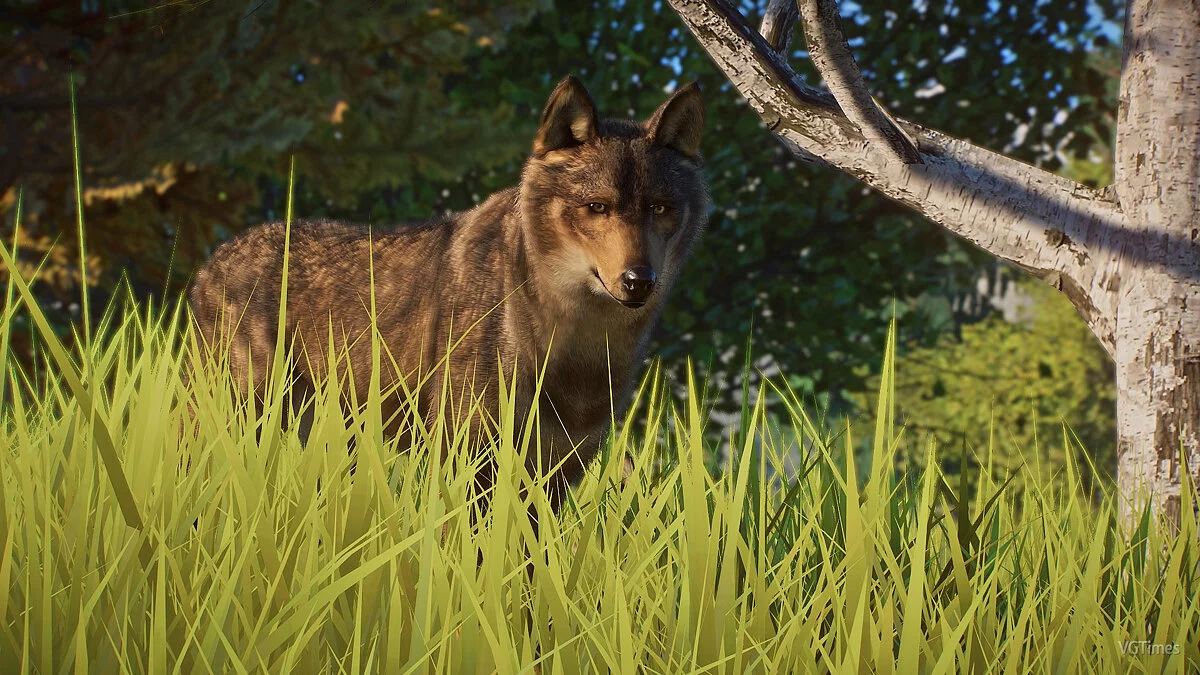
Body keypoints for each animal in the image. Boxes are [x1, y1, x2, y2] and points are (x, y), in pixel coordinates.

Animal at [188, 76, 708, 514]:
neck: (576, 348)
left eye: (659, 208)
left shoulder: (554, 476)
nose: (639, 280)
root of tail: (211, 260)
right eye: (597, 207)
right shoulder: (468, 462)